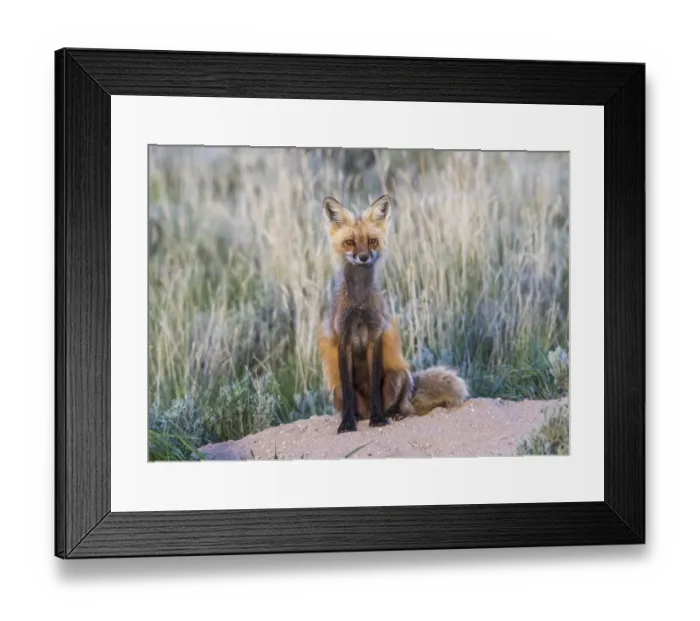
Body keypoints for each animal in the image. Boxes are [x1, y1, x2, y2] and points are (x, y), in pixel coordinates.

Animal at [317, 194, 470, 434]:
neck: (359, 304)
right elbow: (349, 397)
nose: (363, 257)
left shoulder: (375, 335)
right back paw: (359, 418)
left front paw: (378, 419)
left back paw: (393, 414)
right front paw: (347, 424)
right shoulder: (343, 339)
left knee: (404, 408)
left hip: (396, 377)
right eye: (350, 242)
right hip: (338, 389)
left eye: (372, 241)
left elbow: (375, 389)